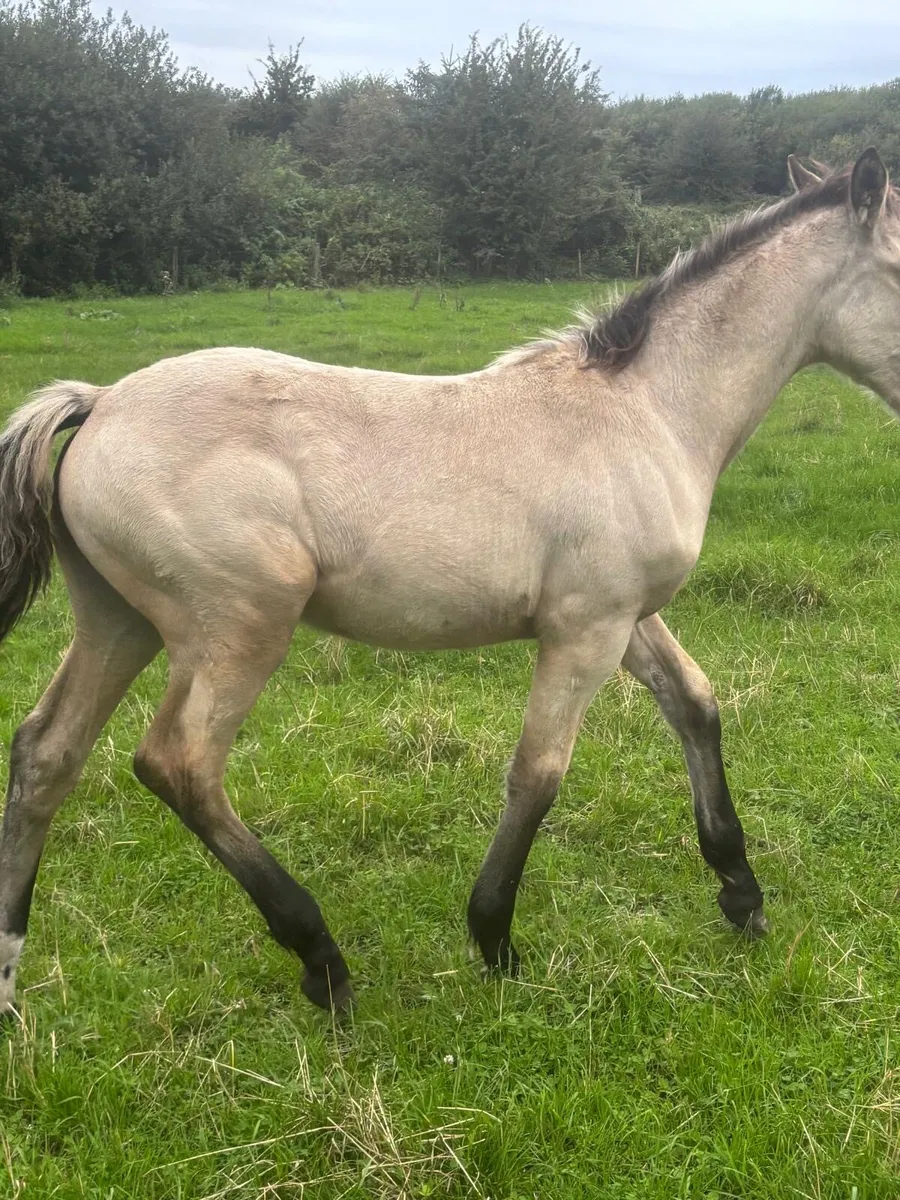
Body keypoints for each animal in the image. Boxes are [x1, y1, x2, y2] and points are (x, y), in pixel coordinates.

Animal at [2, 149, 898, 1016]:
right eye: (899, 267)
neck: (643, 413)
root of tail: (101, 402)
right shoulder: (586, 628)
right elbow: (538, 774)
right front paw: (494, 938)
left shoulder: (626, 615)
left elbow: (696, 705)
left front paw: (741, 893)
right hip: (242, 623)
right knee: (180, 764)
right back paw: (323, 960)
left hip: (119, 620)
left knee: (47, 752)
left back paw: (11, 979)